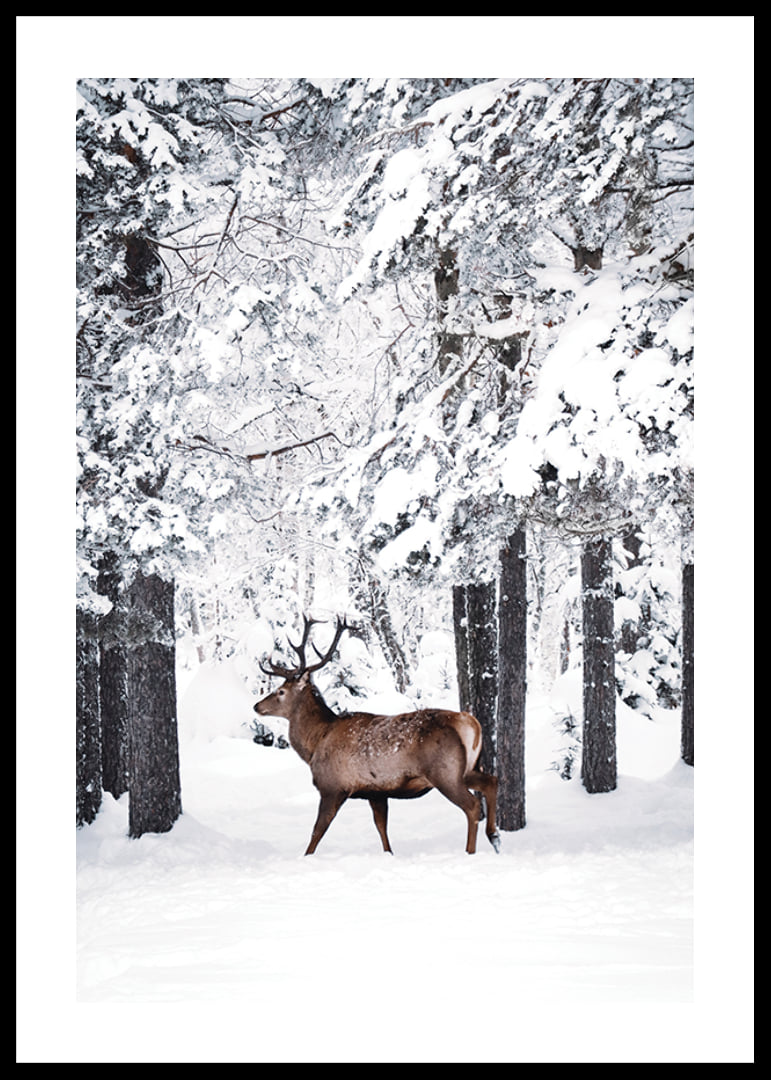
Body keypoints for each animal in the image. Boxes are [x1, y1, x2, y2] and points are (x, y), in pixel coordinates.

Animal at [254, 616, 500, 856]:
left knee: (472, 805)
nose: (257, 706)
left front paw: (306, 857)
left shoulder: (332, 786)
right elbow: (382, 827)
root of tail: (469, 722)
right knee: (492, 781)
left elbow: (317, 831)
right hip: (467, 768)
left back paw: (471, 851)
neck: (315, 743)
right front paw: (388, 854)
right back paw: (494, 837)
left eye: (280, 691)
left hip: (444, 772)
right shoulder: (376, 792)